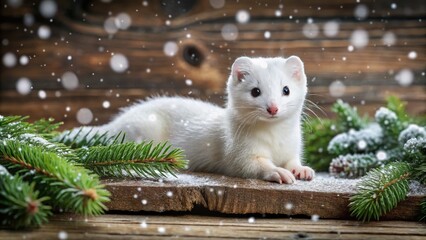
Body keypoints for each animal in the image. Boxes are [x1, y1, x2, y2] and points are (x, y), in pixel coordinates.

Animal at [71, 56, 314, 184]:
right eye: (255, 91)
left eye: (286, 89)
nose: (272, 107)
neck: (275, 140)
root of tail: (119, 121)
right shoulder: (238, 151)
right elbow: (252, 165)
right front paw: (279, 172)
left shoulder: (293, 146)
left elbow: (293, 160)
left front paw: (302, 170)